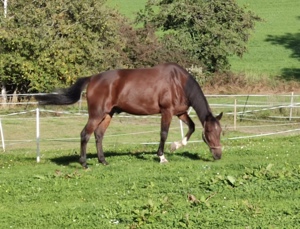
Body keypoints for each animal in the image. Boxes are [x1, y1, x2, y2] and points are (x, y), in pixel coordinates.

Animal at [35, 63, 223, 168]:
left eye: (220, 132)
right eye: (209, 133)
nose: (218, 155)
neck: (178, 82)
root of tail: (93, 78)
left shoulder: (181, 112)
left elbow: (192, 127)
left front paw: (175, 146)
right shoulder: (167, 111)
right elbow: (163, 133)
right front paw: (162, 157)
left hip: (108, 115)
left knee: (98, 135)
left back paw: (103, 161)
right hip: (96, 114)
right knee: (85, 134)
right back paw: (84, 163)